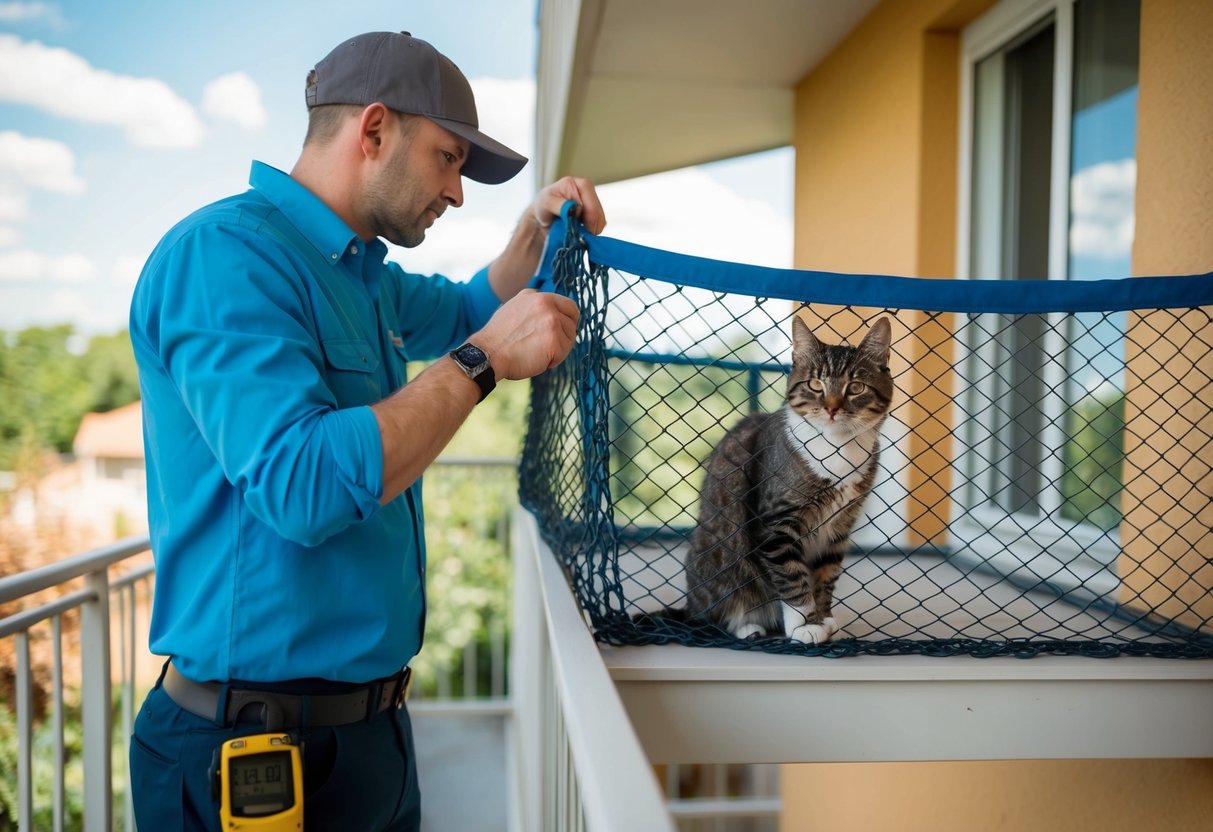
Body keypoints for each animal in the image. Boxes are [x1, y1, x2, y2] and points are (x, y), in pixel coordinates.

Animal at [684, 315, 892, 650]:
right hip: (719, 565)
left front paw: (823, 619)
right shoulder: (775, 525)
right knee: (716, 615)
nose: (832, 408)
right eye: (815, 384)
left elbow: (825, 576)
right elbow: (793, 578)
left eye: (856, 387)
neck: (838, 449)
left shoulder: (839, 527)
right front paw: (803, 626)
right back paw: (747, 626)